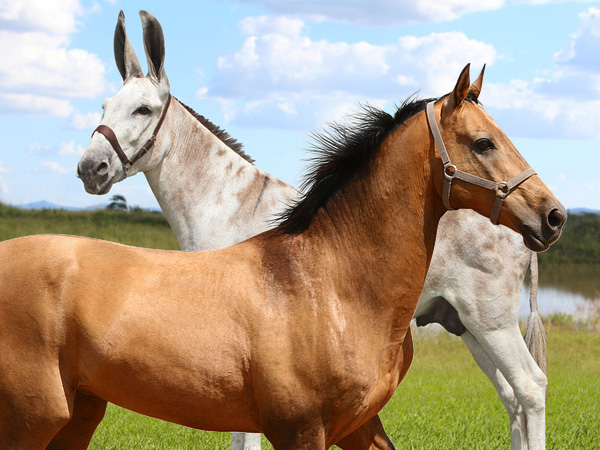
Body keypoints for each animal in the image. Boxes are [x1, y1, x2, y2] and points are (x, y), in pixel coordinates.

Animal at [0, 64, 564, 450]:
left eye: (142, 109)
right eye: (484, 142)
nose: (554, 215)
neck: (333, 283)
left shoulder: (359, 424)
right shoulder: (301, 429)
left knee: (525, 391)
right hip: (37, 419)